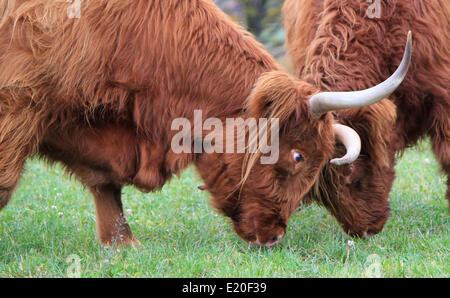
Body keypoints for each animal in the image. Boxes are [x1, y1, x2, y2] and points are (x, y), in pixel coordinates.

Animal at [0, 0, 410, 247]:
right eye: (297, 157)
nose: (274, 237)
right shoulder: (18, 104)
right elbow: (5, 183)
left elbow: (106, 186)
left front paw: (121, 244)